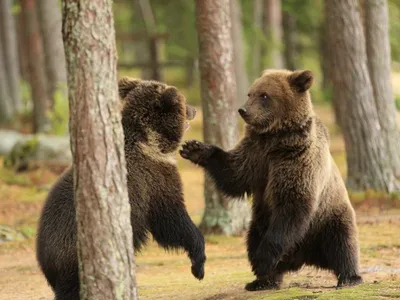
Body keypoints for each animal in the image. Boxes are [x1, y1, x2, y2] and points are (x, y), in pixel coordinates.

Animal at [36, 78, 206, 300]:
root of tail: (45, 258)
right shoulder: (154, 180)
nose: (194, 109)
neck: (149, 141)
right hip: (74, 255)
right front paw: (198, 265)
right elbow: (172, 221)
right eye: (183, 102)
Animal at [180, 69, 362, 290]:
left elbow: (291, 207)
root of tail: (304, 258)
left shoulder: (297, 161)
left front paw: (264, 259)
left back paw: (349, 277)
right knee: (252, 240)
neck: (276, 140)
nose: (243, 110)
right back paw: (263, 280)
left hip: (328, 218)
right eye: (250, 93)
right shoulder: (256, 155)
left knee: (342, 244)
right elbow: (235, 174)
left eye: (264, 95)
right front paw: (194, 149)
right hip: (259, 222)